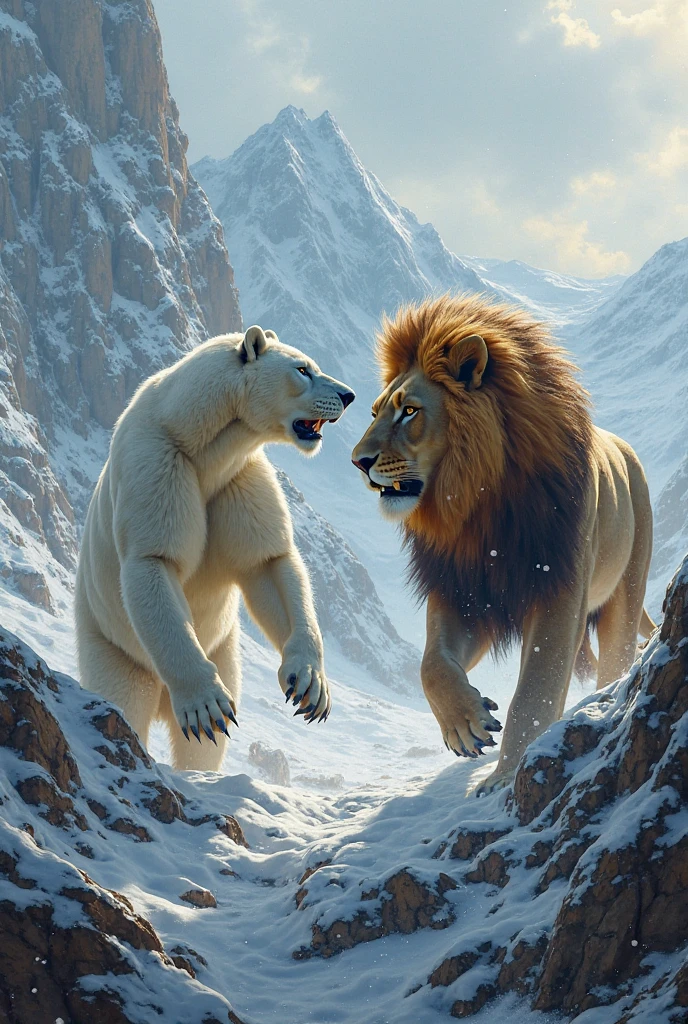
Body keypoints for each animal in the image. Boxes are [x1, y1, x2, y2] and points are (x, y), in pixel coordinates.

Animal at [75, 326, 355, 771]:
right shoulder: (157, 464)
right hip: (110, 643)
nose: (348, 395)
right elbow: (154, 560)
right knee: (125, 696)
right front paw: (206, 707)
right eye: (302, 369)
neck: (198, 439)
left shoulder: (239, 478)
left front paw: (309, 685)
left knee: (204, 747)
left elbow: (268, 561)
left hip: (225, 648)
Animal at [352, 294, 655, 793]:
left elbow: (534, 691)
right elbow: (431, 665)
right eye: (375, 412)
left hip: (625, 592)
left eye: (409, 411)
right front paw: (465, 723)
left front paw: (505, 777)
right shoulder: (464, 592)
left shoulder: (558, 592)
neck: (478, 505)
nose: (358, 461)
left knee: (615, 659)